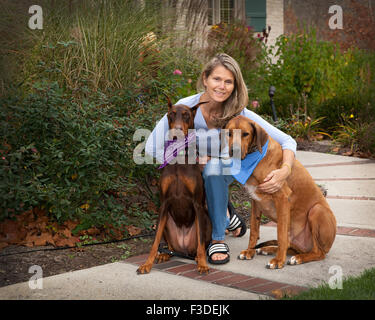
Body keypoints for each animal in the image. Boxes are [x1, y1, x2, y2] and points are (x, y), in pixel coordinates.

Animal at [137, 99, 212, 274]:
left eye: (186, 115)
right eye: (171, 114)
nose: (176, 133)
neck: (178, 158)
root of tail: (183, 251)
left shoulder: (197, 204)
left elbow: (200, 240)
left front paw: (203, 264)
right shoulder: (163, 204)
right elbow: (155, 240)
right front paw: (147, 264)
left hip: (206, 218)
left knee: (201, 243)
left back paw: (198, 257)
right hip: (167, 222)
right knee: (169, 246)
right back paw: (166, 254)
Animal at [226, 116, 338, 268]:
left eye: (245, 134)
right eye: (229, 133)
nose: (234, 151)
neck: (256, 158)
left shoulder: (282, 199)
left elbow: (281, 233)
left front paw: (279, 260)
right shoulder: (255, 201)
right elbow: (254, 230)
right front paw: (250, 251)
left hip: (317, 210)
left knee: (317, 253)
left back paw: (298, 258)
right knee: (289, 246)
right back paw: (267, 249)